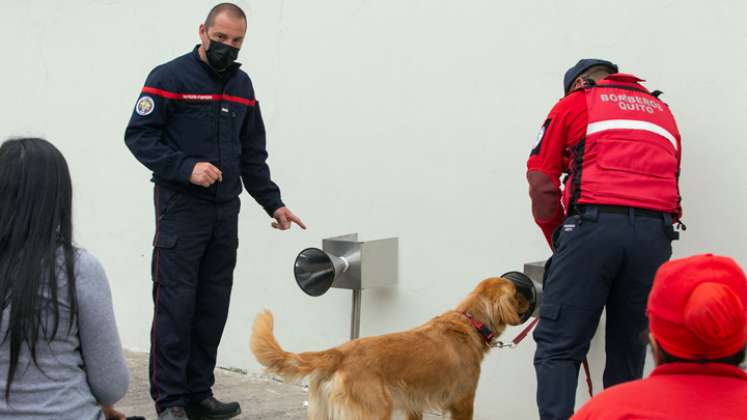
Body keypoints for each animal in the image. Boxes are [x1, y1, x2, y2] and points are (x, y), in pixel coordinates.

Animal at [248, 276, 528, 420]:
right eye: (516, 291)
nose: (530, 297)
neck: (469, 322)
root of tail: (340, 352)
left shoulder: (414, 404)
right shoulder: (463, 401)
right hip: (376, 410)